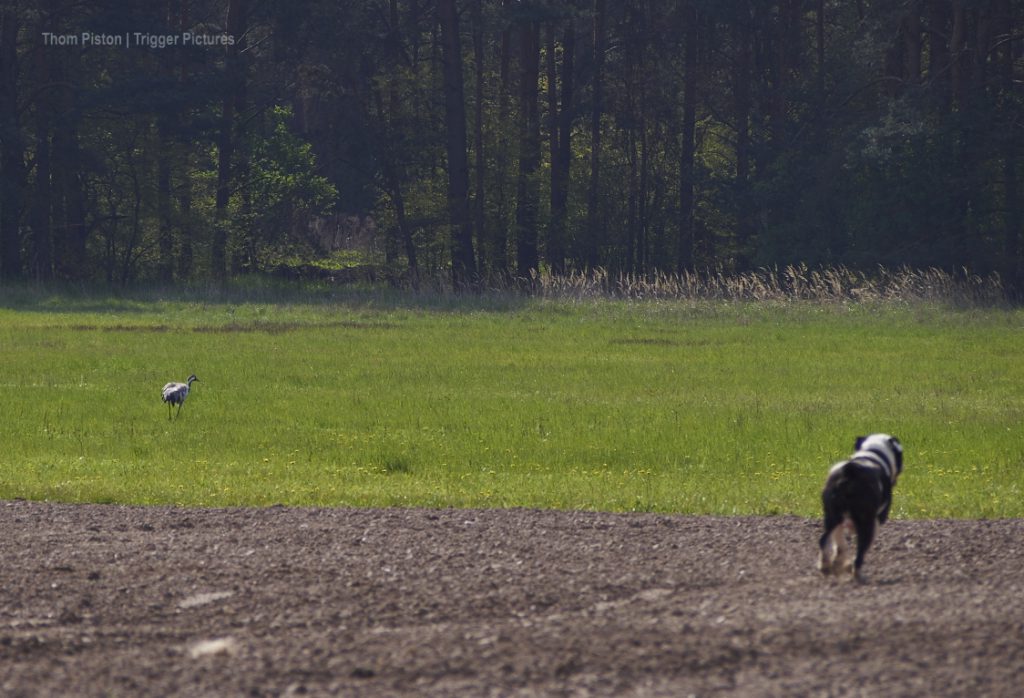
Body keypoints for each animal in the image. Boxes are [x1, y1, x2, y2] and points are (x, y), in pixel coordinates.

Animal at [815, 431, 905, 577]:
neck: (872, 453)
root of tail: (851, 471)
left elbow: (840, 543)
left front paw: (839, 561)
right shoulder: (876, 522)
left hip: (832, 516)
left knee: (824, 540)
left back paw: (825, 565)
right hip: (866, 521)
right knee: (861, 549)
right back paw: (857, 572)